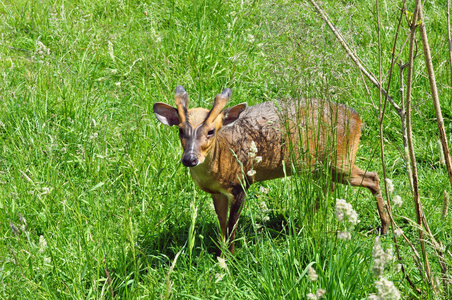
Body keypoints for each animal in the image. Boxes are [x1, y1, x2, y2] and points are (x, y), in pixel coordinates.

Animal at [154, 85, 390, 255]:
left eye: (211, 131)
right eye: (180, 130)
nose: (190, 159)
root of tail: (358, 118)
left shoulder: (242, 184)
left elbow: (232, 226)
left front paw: (230, 259)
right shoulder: (217, 193)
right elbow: (222, 225)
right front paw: (220, 255)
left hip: (341, 160)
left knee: (373, 177)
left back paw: (385, 227)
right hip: (322, 166)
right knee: (330, 187)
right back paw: (304, 223)